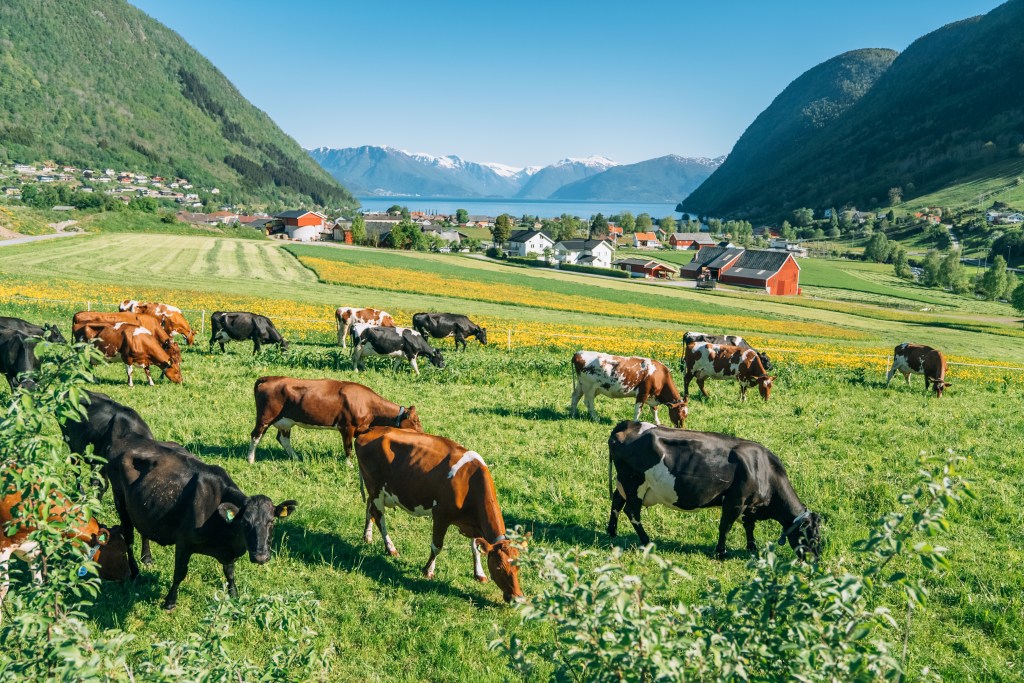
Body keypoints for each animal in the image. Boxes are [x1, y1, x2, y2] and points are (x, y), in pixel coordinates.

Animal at [103, 413, 296, 610]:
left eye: (271, 522)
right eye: (245, 522)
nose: (261, 557)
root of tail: (128, 438)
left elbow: (229, 572)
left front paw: (234, 594)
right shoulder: (183, 542)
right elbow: (179, 573)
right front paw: (170, 602)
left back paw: (147, 558)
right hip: (120, 499)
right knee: (128, 538)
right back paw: (135, 572)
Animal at [247, 374, 423, 464]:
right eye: (415, 421)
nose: (422, 433)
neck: (369, 405)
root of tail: (269, 378)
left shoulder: (361, 428)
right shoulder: (347, 427)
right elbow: (348, 447)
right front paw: (349, 465)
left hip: (285, 421)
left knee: (283, 439)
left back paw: (296, 458)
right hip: (265, 416)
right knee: (256, 435)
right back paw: (250, 459)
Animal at [356, 428, 524, 602]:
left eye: (519, 567)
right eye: (499, 568)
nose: (517, 598)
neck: (469, 482)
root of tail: (371, 430)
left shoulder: (473, 523)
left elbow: (476, 548)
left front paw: (480, 574)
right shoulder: (441, 516)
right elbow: (436, 546)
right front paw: (428, 570)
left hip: (374, 490)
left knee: (369, 508)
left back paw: (367, 536)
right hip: (376, 488)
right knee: (379, 516)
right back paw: (390, 548)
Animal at [606, 421, 823, 561]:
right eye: (814, 537)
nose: (816, 561)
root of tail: (625, 425)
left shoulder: (749, 505)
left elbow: (749, 526)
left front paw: (751, 548)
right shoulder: (735, 502)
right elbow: (725, 527)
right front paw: (721, 553)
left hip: (623, 484)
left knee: (616, 502)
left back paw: (612, 532)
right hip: (634, 484)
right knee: (632, 511)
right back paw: (646, 541)